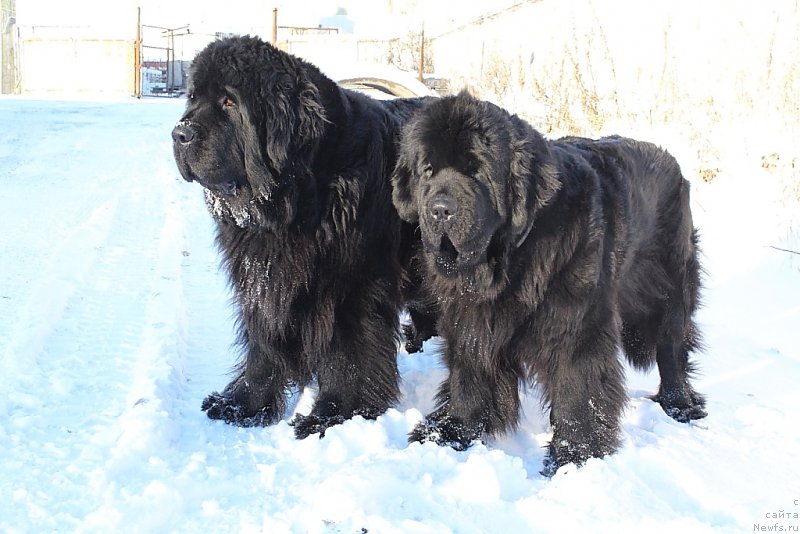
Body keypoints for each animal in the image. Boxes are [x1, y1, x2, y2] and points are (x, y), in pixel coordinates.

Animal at [171, 36, 434, 440]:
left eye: (229, 101)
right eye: (193, 98)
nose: (179, 134)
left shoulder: (352, 284)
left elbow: (349, 351)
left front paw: (335, 413)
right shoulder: (264, 276)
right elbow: (263, 343)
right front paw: (243, 403)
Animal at [394, 93, 708, 478]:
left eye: (477, 171)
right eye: (427, 170)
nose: (439, 209)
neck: (508, 262)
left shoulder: (575, 324)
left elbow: (576, 388)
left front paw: (575, 457)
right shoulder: (471, 319)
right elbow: (468, 373)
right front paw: (452, 430)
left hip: (669, 286)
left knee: (671, 345)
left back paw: (679, 404)